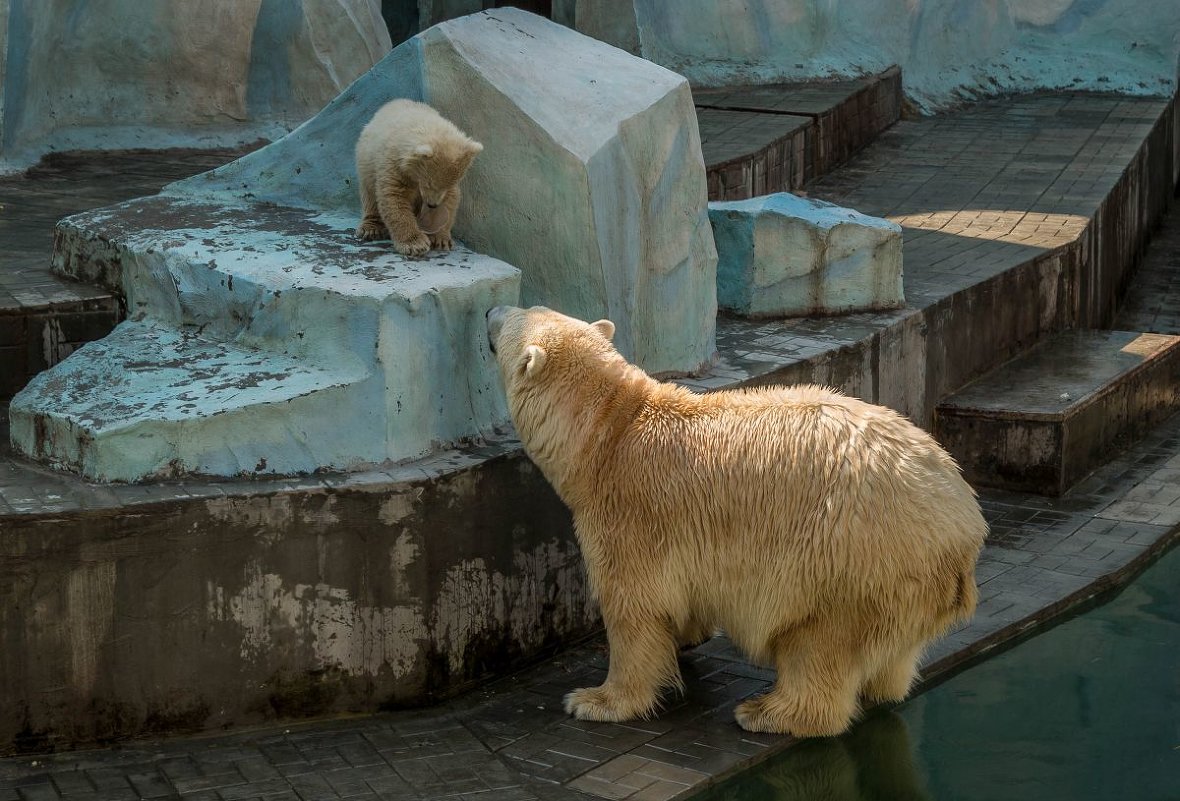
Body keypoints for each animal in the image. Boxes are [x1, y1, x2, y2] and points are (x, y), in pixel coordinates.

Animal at [483, 304, 991, 736]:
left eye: (513, 314)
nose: (489, 311)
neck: (609, 432)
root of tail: (963, 521)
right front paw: (689, 634)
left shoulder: (628, 513)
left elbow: (633, 604)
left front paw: (595, 700)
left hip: (852, 555)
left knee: (820, 642)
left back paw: (766, 712)